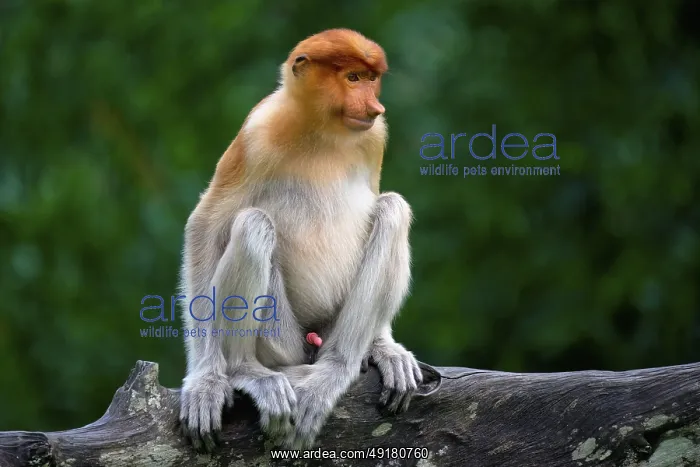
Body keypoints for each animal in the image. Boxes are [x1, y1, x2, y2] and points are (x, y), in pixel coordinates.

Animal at [178, 28, 423, 452]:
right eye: (353, 78)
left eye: (371, 78)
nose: (375, 106)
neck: (323, 128)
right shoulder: (256, 132)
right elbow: (206, 225)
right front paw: (205, 381)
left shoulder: (375, 136)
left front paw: (385, 346)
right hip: (282, 341)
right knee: (253, 224)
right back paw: (247, 371)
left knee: (393, 209)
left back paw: (337, 367)